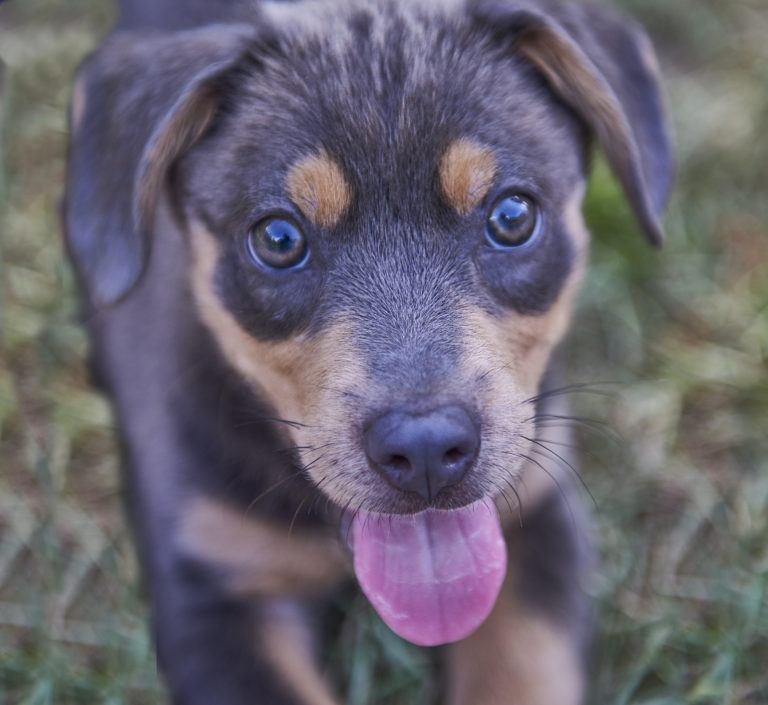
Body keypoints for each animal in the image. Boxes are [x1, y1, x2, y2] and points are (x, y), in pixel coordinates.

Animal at [64, 0, 673, 702]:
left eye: (513, 216)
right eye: (278, 238)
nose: (426, 449)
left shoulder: (539, 513)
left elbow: (522, 672)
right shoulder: (211, 590)